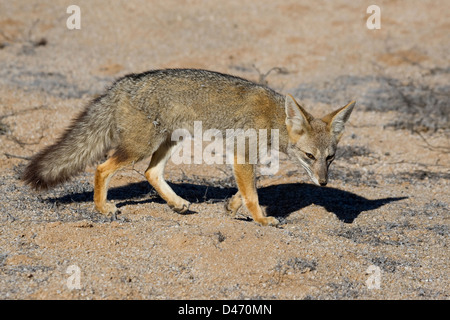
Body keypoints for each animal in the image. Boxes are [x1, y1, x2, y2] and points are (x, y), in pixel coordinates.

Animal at [23, 69, 356, 226]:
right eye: (309, 156)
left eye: (331, 158)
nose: (323, 182)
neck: (274, 116)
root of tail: (123, 83)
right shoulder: (243, 154)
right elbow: (252, 194)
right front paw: (261, 220)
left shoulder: (247, 158)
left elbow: (246, 189)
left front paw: (230, 207)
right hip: (140, 146)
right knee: (102, 168)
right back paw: (103, 207)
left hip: (169, 142)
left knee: (151, 172)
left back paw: (177, 203)